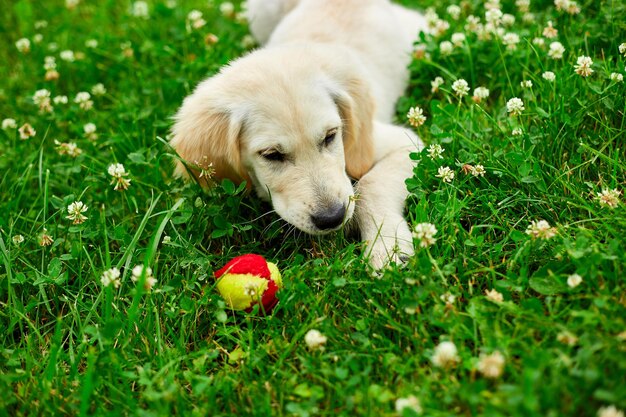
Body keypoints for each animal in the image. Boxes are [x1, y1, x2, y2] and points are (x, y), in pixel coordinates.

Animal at [169, 0, 424, 266]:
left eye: (330, 136)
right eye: (271, 155)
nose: (332, 217)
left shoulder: (402, 144)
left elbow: (371, 185)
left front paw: (388, 248)